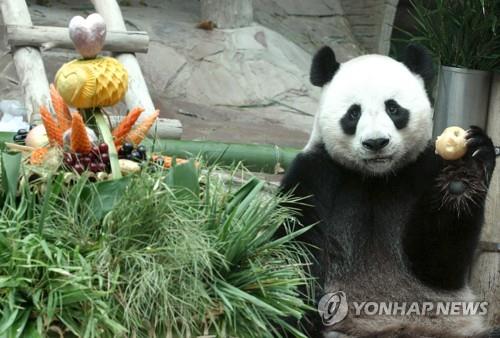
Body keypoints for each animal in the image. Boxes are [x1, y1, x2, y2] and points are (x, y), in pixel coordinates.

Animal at [280, 45, 498, 338]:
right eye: (353, 113)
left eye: (393, 108)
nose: (376, 143)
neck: (376, 177)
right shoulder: (317, 174)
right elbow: (294, 248)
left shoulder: (422, 169)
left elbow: (440, 265)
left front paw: (465, 174)